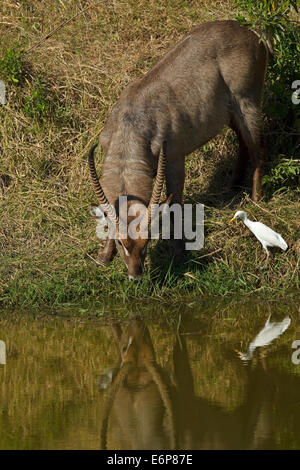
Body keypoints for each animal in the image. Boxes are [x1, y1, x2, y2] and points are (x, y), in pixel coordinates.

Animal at [89, 20, 272, 280]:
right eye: (123, 243)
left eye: (147, 241)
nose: (136, 276)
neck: (131, 126)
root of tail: (249, 30)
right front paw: (104, 256)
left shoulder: (174, 159)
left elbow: (174, 204)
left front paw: (179, 251)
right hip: (231, 113)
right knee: (243, 143)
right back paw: (233, 185)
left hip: (248, 103)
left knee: (258, 148)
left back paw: (257, 199)